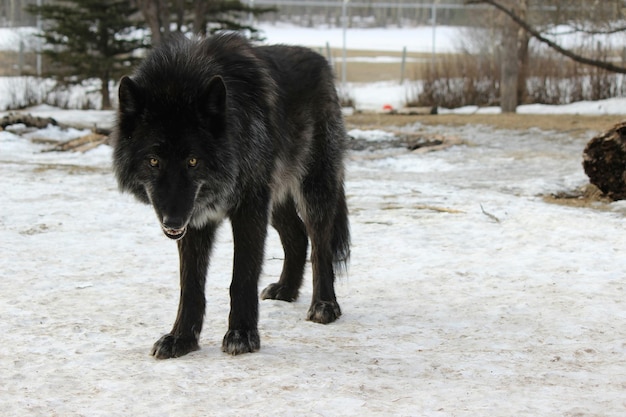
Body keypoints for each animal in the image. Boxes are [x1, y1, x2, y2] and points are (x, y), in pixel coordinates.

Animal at [110, 32, 348, 358]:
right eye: (154, 161)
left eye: (192, 161)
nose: (172, 221)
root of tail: (321, 61)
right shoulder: (196, 219)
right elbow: (190, 286)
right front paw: (181, 339)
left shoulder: (248, 207)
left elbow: (242, 277)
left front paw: (242, 334)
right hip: (274, 199)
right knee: (298, 236)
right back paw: (286, 290)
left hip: (314, 189)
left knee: (320, 247)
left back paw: (325, 305)